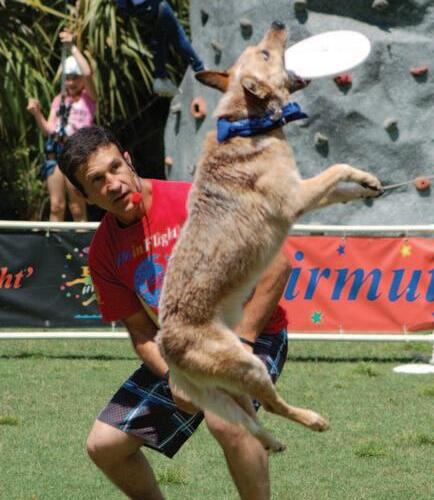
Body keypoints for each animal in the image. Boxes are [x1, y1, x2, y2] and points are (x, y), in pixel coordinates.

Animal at [157, 22, 382, 452]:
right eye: (264, 53)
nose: (278, 23)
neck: (248, 121)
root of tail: (165, 348)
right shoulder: (295, 199)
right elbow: (337, 168)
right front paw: (364, 178)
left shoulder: (303, 195)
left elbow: (342, 186)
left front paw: (368, 186)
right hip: (250, 365)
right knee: (273, 405)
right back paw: (313, 421)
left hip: (230, 381)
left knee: (246, 417)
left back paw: (272, 442)